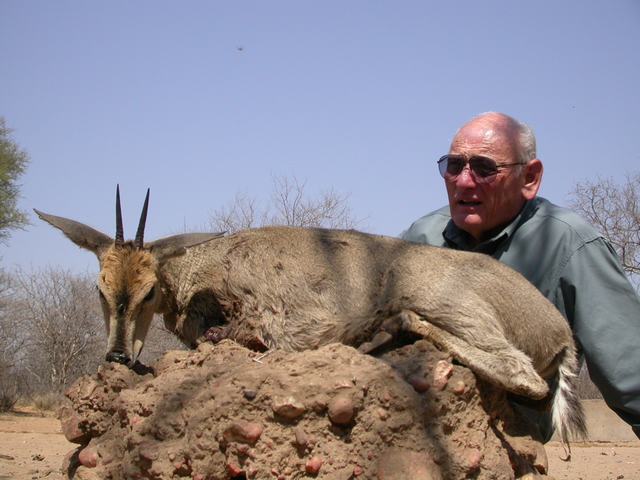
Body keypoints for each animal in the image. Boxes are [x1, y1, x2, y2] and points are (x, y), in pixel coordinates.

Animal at [35, 186, 586, 448]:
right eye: (101, 288)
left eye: (149, 291)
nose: (117, 355)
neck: (207, 265)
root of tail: (558, 330)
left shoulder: (270, 327)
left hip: (457, 311)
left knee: (523, 375)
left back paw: (389, 329)